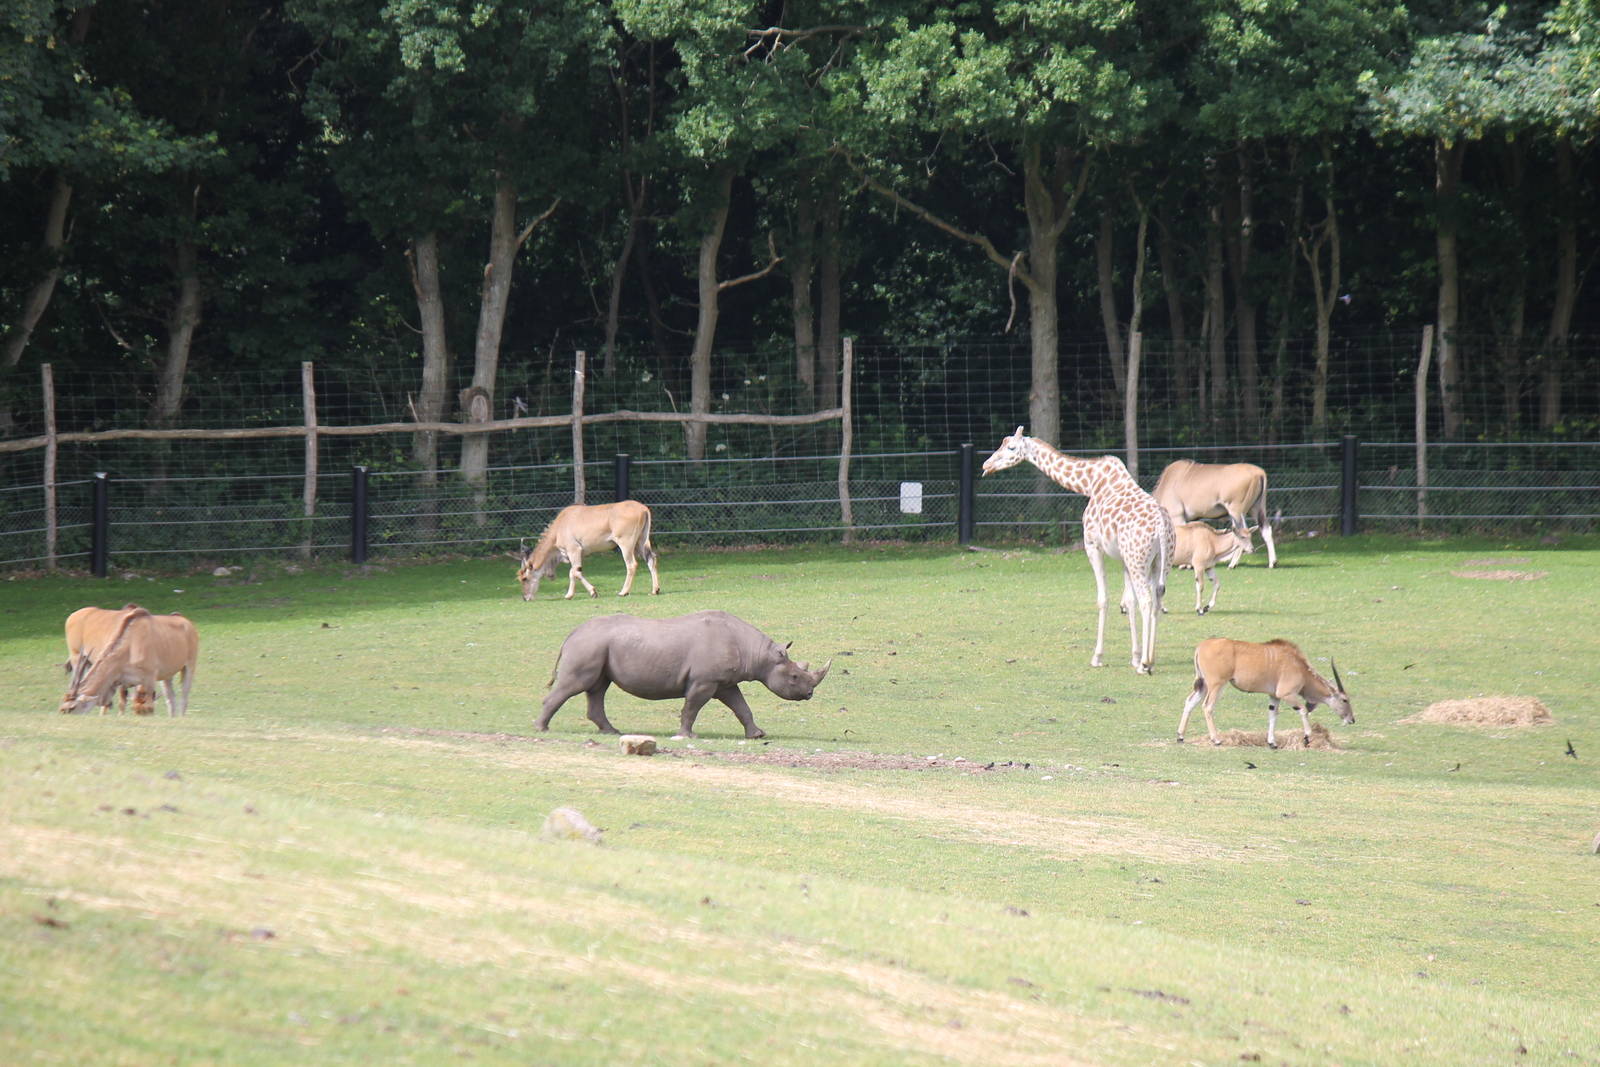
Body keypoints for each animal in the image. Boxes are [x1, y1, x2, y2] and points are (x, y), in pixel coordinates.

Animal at [539, 611, 831, 739]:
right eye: (794, 678)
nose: (809, 693)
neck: (758, 653)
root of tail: (572, 634)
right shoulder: (705, 681)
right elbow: (692, 708)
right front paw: (687, 736)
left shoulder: (724, 682)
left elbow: (741, 707)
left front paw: (757, 735)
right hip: (589, 645)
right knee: (578, 684)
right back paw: (542, 729)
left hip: (598, 646)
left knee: (598, 687)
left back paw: (612, 732)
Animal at [981, 426, 1174, 674]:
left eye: (1011, 448)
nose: (986, 465)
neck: (1090, 483)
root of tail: (1161, 527)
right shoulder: (1123, 557)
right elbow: (1128, 602)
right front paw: (1134, 656)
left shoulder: (1092, 545)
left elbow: (1103, 599)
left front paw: (1098, 656)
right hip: (1159, 562)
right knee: (1157, 600)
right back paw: (1148, 660)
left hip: (1139, 560)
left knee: (1147, 601)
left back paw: (1146, 664)